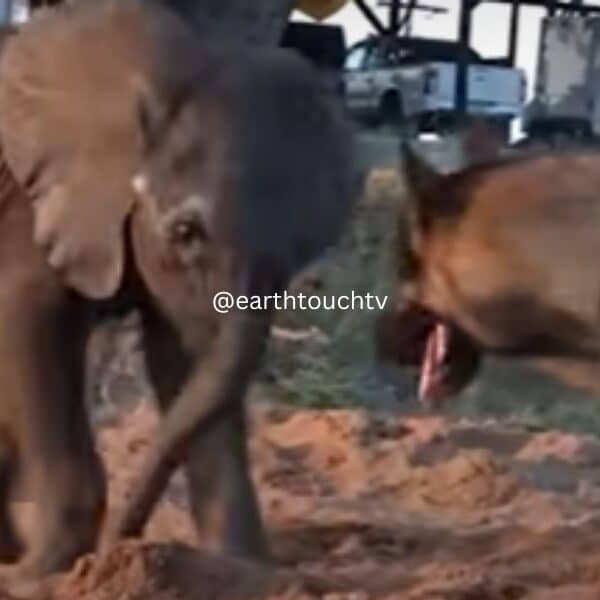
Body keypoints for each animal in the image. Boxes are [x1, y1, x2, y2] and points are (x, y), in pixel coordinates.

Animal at [0, 0, 358, 588]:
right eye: (186, 232)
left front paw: (240, 571)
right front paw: (38, 573)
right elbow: (29, 323)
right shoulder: (36, 204)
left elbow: (189, 356)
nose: (117, 547)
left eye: (298, 258)